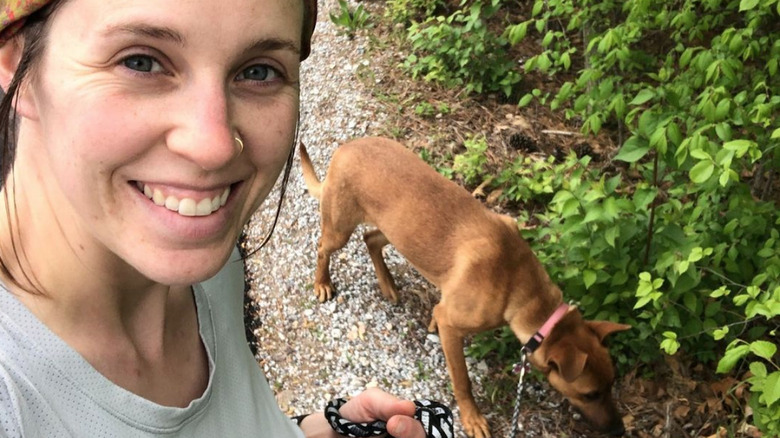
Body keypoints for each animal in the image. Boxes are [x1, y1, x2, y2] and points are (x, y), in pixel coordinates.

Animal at [298, 138, 628, 438]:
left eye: (612, 384)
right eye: (590, 394)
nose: (620, 430)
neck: (518, 282)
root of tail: (345, 148)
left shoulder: (448, 309)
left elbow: (437, 311)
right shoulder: (453, 326)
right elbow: (462, 380)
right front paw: (472, 418)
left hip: (398, 231)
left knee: (371, 239)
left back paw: (387, 284)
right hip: (340, 228)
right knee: (323, 248)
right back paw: (323, 282)